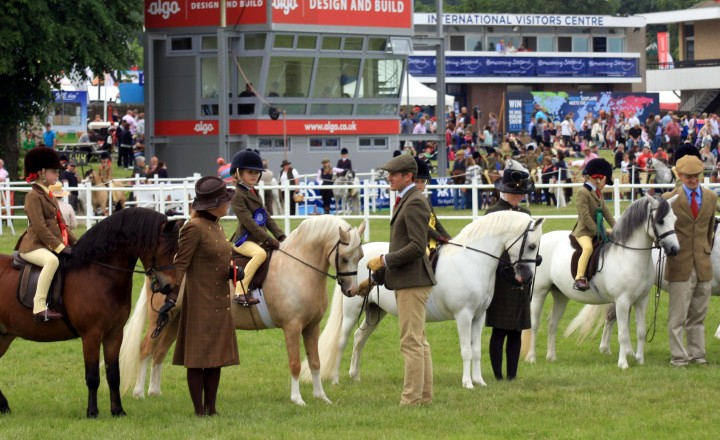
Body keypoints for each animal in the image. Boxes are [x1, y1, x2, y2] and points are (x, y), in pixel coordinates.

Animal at [0, 208, 183, 418]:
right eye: (167, 250)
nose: (169, 287)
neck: (98, 273)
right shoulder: (91, 335)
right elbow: (93, 375)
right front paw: (92, 412)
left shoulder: (114, 334)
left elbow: (114, 374)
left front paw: (117, 410)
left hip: (4, 335)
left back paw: (4, 406)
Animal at [122, 217, 366, 406]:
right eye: (344, 258)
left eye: (361, 257)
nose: (352, 290)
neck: (300, 267)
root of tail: (159, 270)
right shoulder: (292, 327)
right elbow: (296, 363)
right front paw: (298, 399)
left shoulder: (311, 327)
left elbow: (315, 362)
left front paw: (321, 397)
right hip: (160, 319)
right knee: (146, 349)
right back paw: (139, 393)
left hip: (175, 320)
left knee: (159, 353)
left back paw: (155, 392)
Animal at [300, 212, 544, 388]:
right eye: (532, 245)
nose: (527, 277)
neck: (472, 260)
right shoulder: (464, 316)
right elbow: (466, 350)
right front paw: (467, 383)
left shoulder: (478, 317)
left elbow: (476, 351)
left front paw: (479, 381)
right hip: (352, 311)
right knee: (342, 341)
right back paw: (335, 379)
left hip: (375, 311)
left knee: (360, 338)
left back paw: (355, 375)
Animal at [524, 194, 676, 370]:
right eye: (661, 221)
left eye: (674, 219)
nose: (674, 249)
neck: (628, 254)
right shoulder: (622, 301)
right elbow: (623, 334)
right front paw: (623, 363)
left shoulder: (641, 300)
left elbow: (641, 331)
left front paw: (640, 360)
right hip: (539, 293)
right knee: (535, 323)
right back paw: (531, 357)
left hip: (560, 295)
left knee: (552, 323)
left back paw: (551, 357)